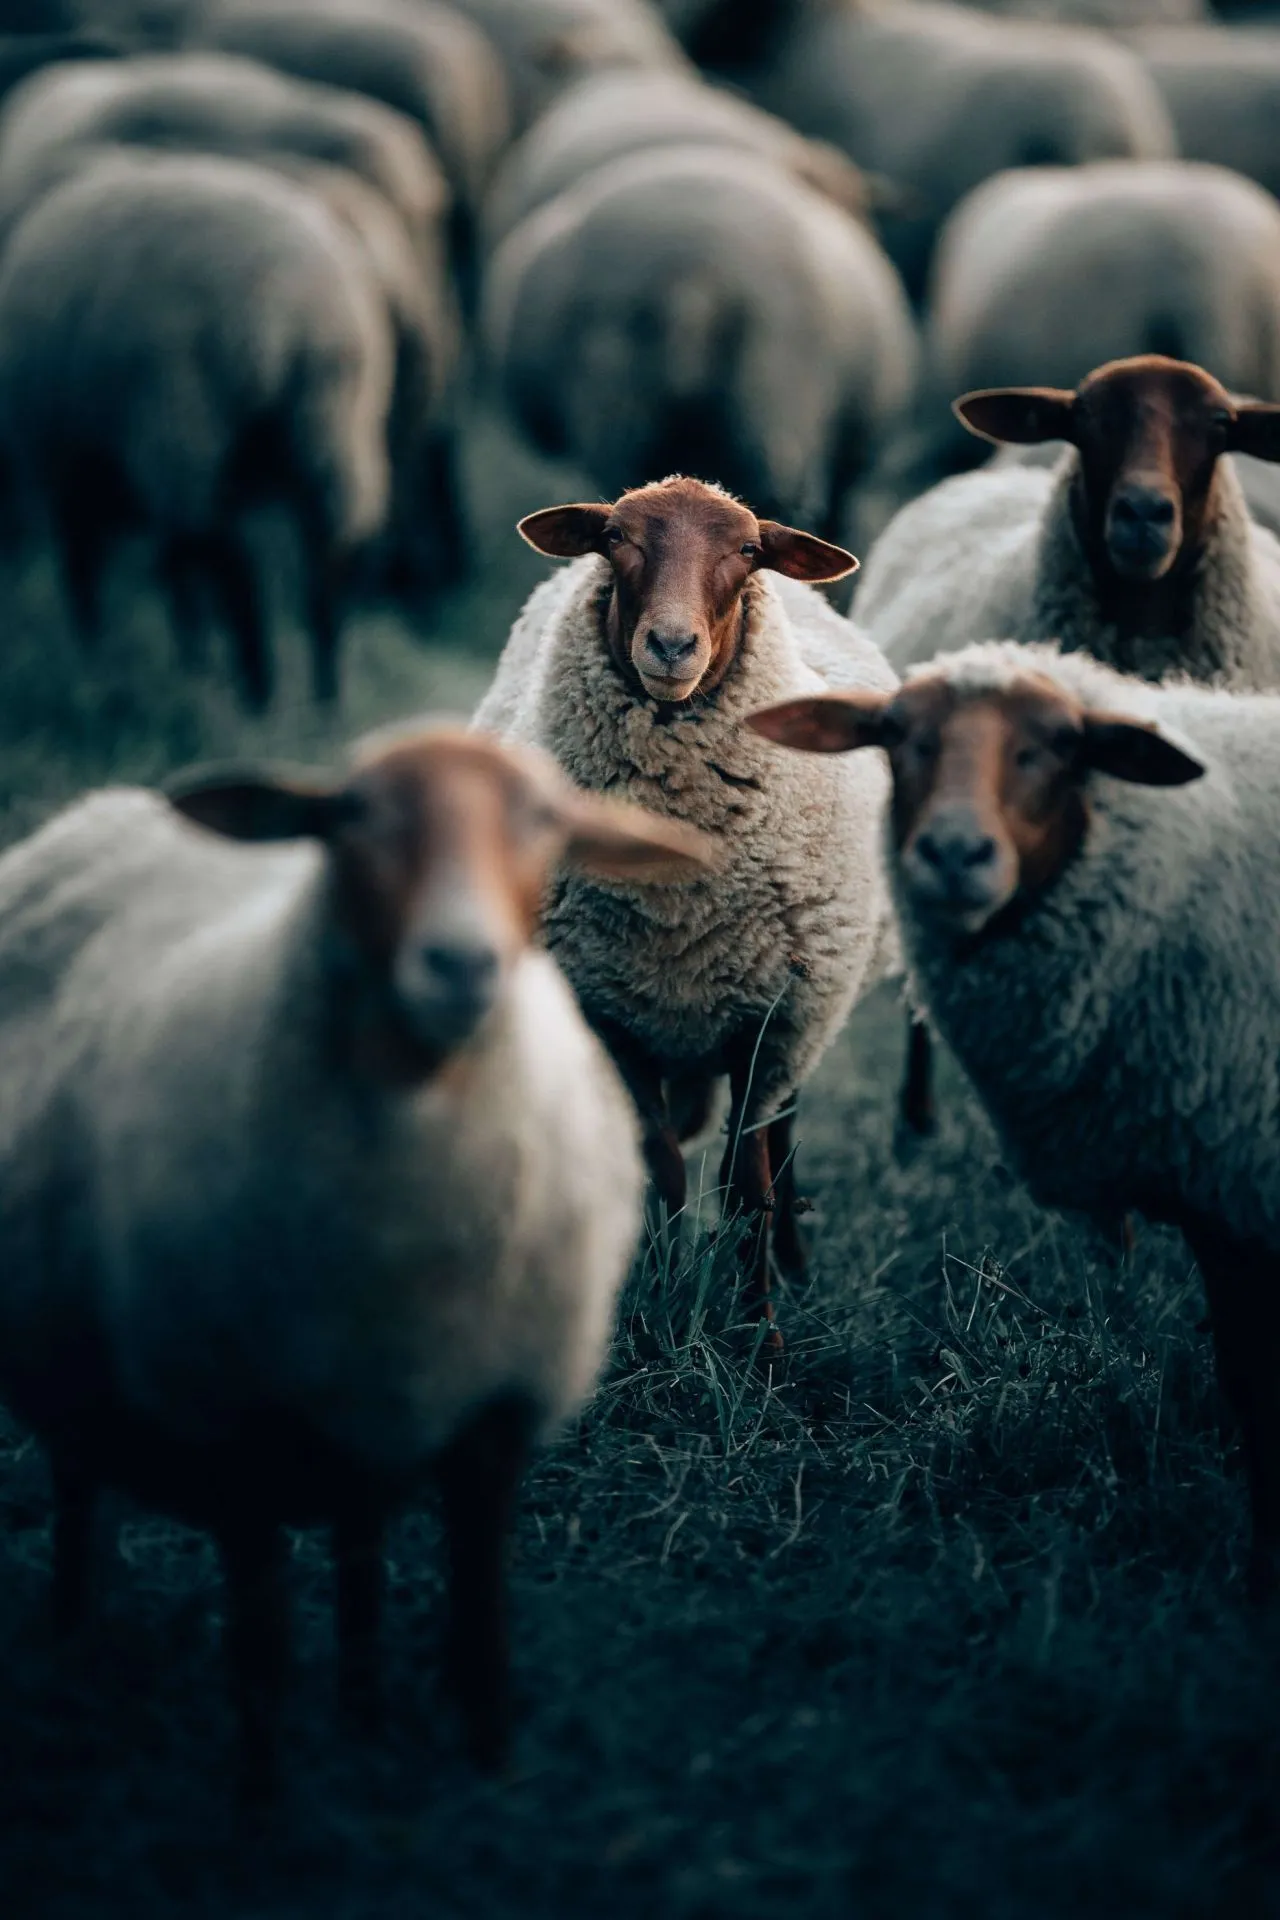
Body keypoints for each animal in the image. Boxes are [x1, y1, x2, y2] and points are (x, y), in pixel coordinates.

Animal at [0, 149, 395, 709]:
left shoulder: (66, 469)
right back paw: (324, 695)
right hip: (333, 419)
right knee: (326, 559)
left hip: (181, 421)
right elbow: (168, 570)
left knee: (230, 562)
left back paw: (257, 691)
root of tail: (290, 309)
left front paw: (96, 657)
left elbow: (89, 569)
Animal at [0, 722, 710, 1798]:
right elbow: (259, 1653)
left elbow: (479, 1626)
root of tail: (106, 805)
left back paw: (363, 1711)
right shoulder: (234, 1429)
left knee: (360, 1552)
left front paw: (486, 1761)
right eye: (351, 817)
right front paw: (264, 1800)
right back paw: (76, 1642)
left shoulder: (494, 1422)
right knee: (80, 1491)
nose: (461, 965)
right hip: (78, 1354)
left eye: (541, 821)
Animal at [474, 474, 897, 1331]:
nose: (671, 647)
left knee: (783, 1136)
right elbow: (663, 1169)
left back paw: (796, 1268)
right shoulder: (612, 1016)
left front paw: (760, 1334)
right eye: (615, 539)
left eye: (748, 550)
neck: (680, 901)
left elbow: (746, 1185)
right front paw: (659, 1298)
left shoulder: (774, 1023)